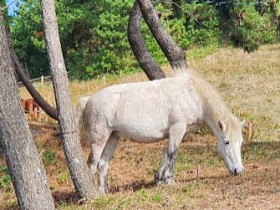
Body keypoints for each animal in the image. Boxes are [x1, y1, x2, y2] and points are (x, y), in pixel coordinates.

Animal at [76, 69, 245, 194]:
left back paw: (103, 192)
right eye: (226, 142)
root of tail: (89, 100)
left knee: (103, 164)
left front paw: (159, 178)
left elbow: (167, 153)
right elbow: (172, 153)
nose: (238, 170)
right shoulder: (177, 127)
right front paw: (169, 180)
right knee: (92, 164)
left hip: (112, 138)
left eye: (241, 143)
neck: (192, 94)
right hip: (99, 140)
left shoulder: (179, 132)